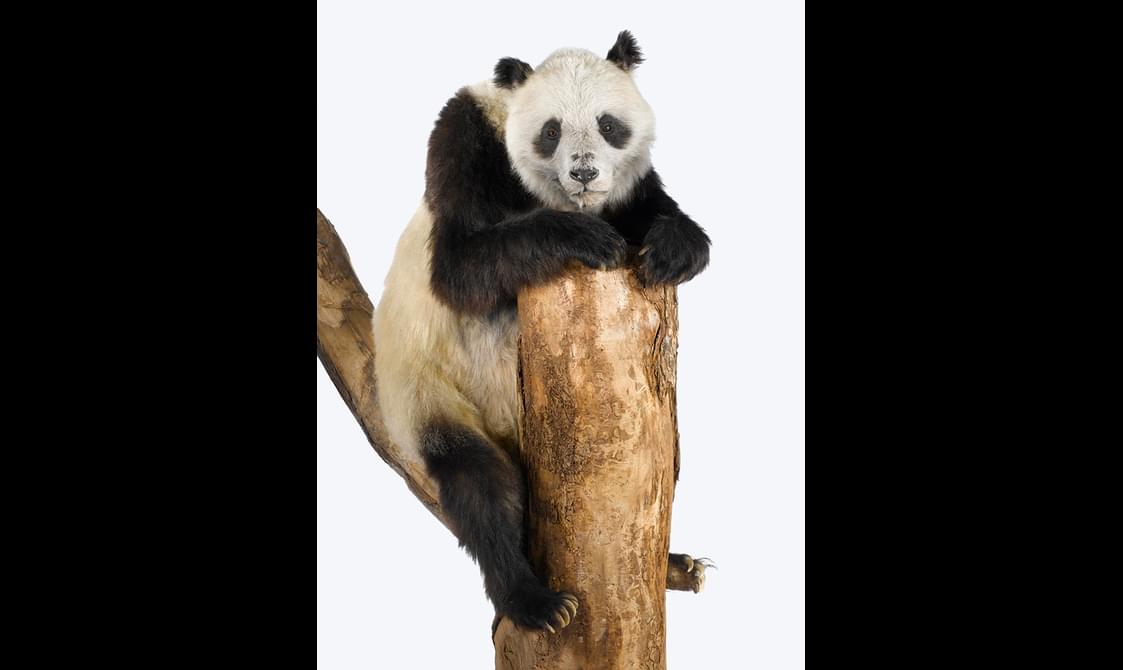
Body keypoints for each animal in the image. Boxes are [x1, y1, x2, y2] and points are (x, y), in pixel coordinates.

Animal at [373, 30, 710, 633]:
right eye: (550, 131)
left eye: (607, 124)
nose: (584, 173)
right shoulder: (465, 141)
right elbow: (461, 268)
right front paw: (585, 238)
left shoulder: (633, 187)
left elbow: (660, 212)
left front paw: (672, 246)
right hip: (427, 397)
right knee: (483, 488)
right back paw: (535, 601)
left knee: (666, 463)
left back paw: (674, 562)